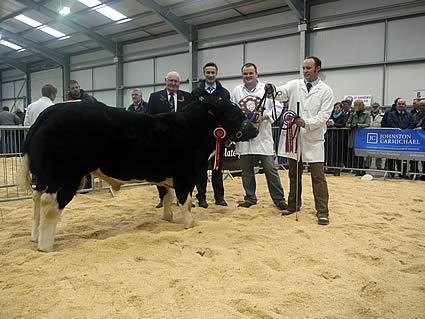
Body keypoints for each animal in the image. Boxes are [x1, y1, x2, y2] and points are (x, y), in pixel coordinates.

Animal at [19, 100, 256, 252]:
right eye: (235, 115)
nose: (254, 129)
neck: (191, 127)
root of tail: (48, 113)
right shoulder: (186, 174)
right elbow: (185, 200)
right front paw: (190, 224)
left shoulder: (164, 175)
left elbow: (167, 196)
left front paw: (168, 219)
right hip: (65, 176)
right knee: (50, 203)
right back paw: (46, 246)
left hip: (44, 176)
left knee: (37, 199)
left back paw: (35, 236)